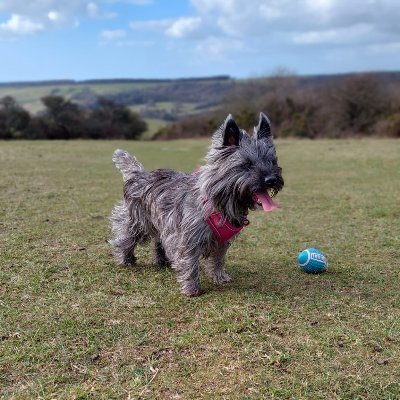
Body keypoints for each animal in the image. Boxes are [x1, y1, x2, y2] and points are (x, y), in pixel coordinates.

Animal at [111, 112, 282, 296]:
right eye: (247, 164)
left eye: (272, 161)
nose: (271, 180)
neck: (221, 203)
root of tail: (137, 175)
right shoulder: (188, 238)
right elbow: (190, 263)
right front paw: (192, 288)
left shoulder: (220, 243)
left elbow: (218, 259)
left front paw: (219, 277)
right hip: (137, 221)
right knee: (124, 238)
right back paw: (126, 259)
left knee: (158, 241)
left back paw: (162, 260)